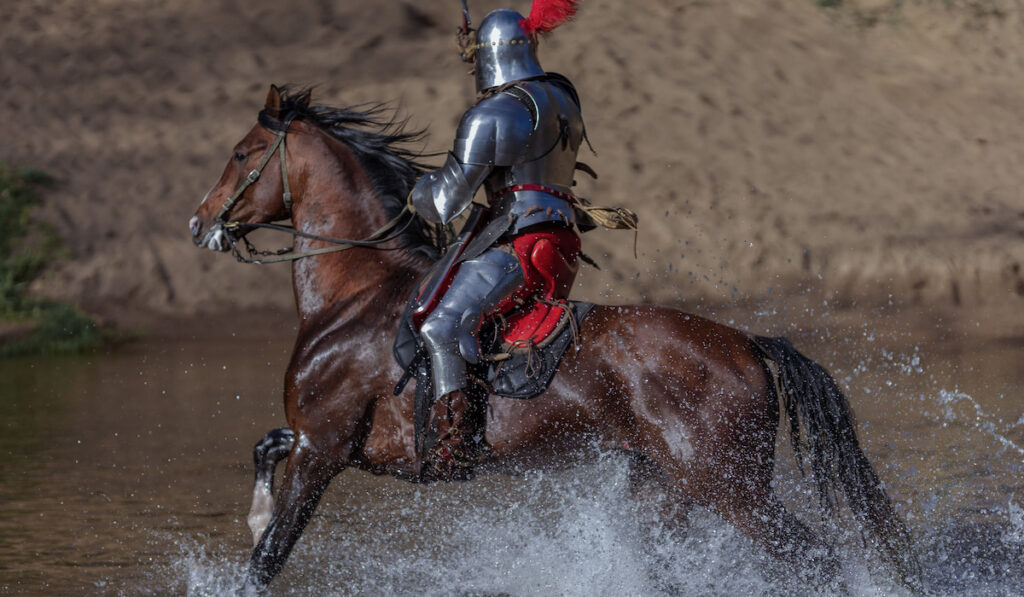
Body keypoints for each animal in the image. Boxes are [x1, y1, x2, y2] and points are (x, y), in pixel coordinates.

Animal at [188, 86, 917, 593]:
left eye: (242, 154)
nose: (199, 223)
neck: (354, 294)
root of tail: (745, 342)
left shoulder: (323, 451)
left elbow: (267, 558)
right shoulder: (318, 440)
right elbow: (264, 450)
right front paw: (254, 511)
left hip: (732, 489)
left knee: (816, 560)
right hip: (663, 489)